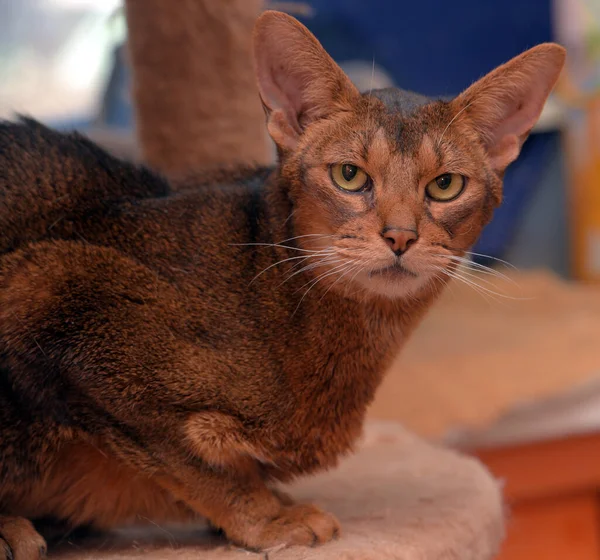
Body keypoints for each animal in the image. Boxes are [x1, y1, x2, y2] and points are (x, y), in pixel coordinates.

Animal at [0, 9, 564, 560]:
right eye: (349, 176)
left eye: (445, 185)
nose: (401, 236)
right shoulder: (55, 289)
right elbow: (196, 462)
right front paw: (266, 517)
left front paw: (272, 501)